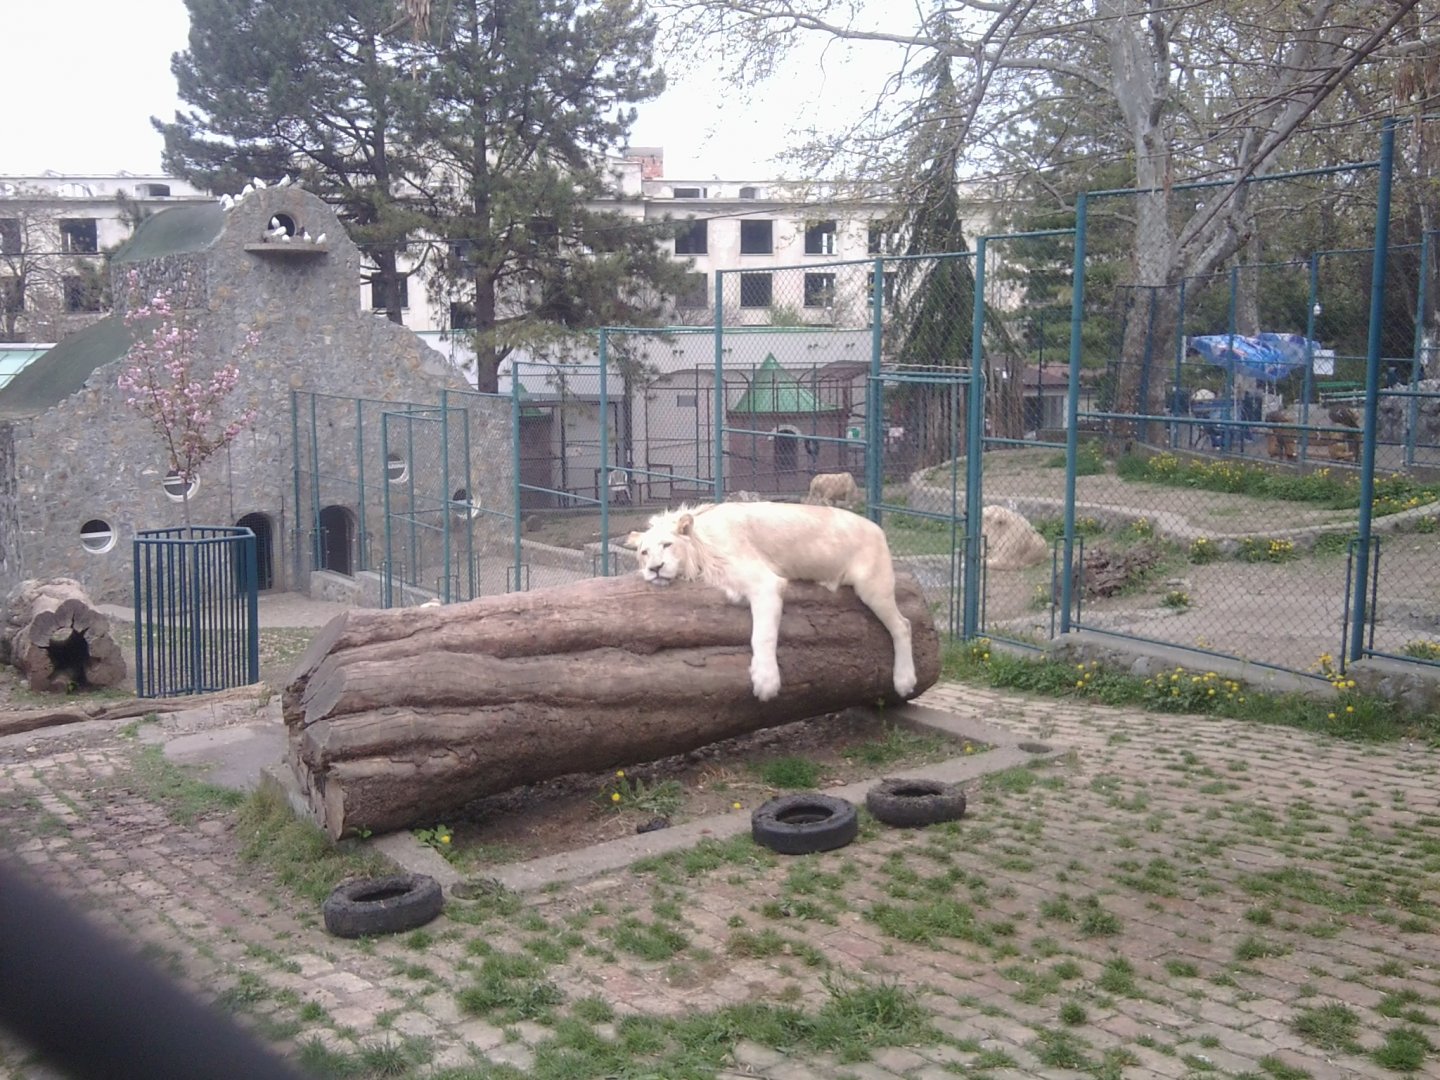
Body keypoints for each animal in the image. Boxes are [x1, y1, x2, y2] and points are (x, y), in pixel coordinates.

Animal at [626, 501, 916, 702]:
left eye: (667, 545)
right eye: (644, 552)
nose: (655, 569)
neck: (701, 546)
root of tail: (878, 528)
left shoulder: (766, 583)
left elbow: (762, 635)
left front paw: (766, 681)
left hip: (873, 587)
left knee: (903, 625)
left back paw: (904, 680)